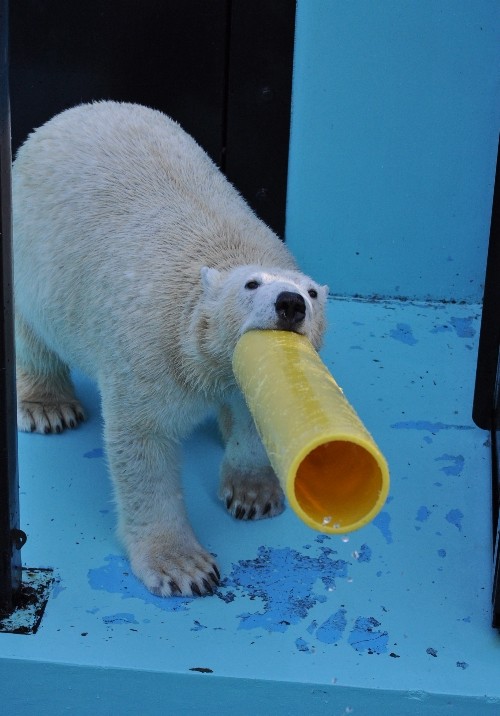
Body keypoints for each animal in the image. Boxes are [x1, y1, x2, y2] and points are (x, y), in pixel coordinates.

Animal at [12, 99, 328, 592]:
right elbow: (143, 445)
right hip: (32, 259)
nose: (291, 304)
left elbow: (254, 417)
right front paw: (183, 566)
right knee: (34, 333)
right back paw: (49, 407)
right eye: (251, 285)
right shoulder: (149, 354)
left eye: (312, 293)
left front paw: (252, 494)